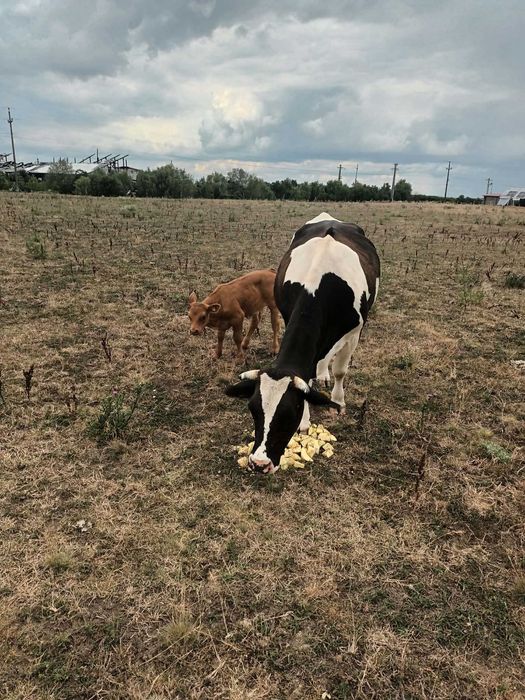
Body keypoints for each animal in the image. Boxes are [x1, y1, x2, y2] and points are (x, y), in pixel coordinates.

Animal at [225, 212, 380, 474]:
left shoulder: (354, 331)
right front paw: (307, 420)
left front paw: (339, 402)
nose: (259, 463)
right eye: (253, 410)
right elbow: (307, 377)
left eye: (289, 413)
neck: (319, 284)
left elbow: (341, 370)